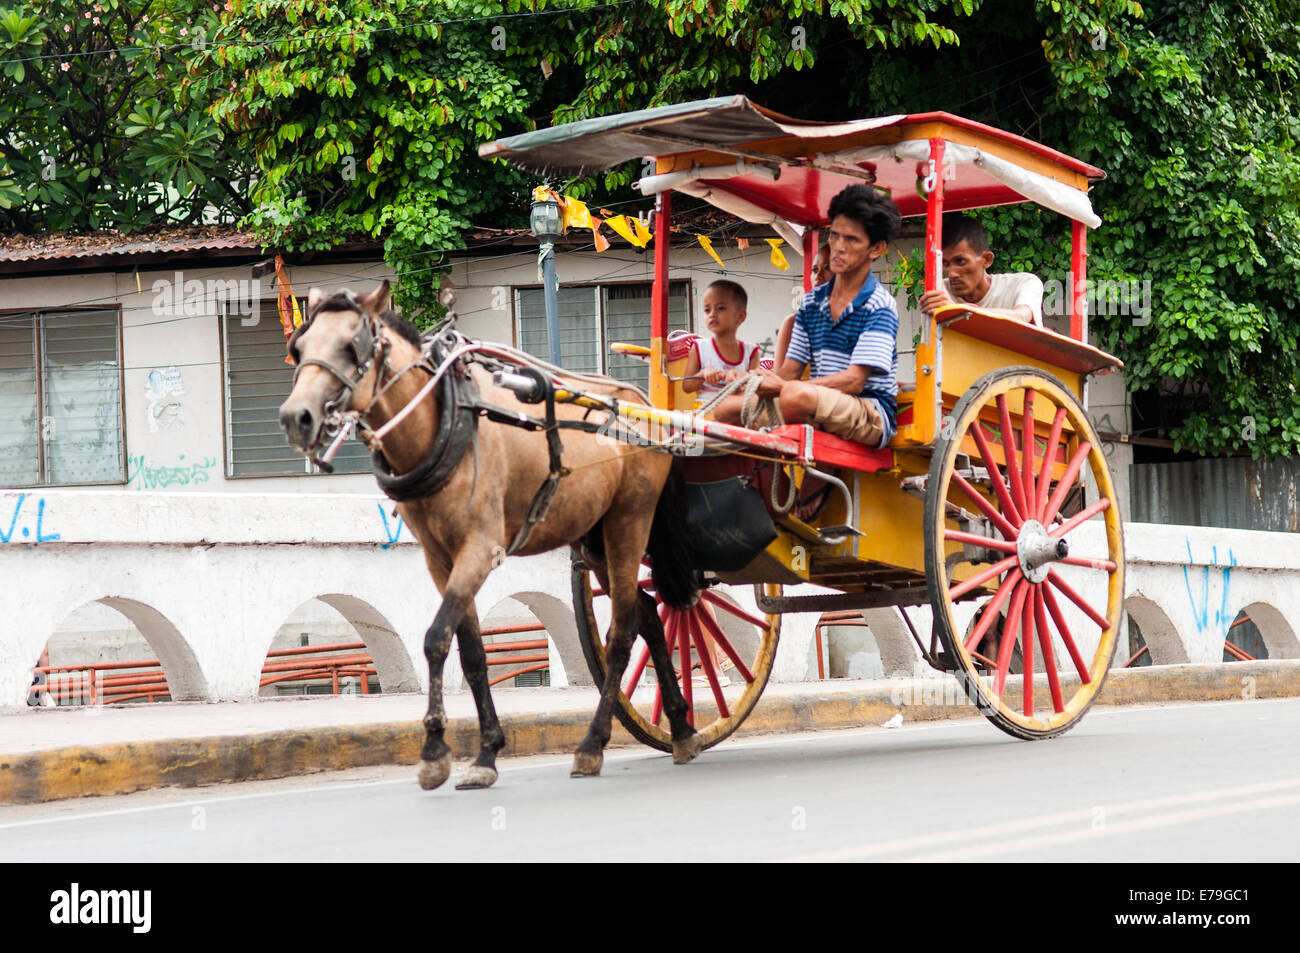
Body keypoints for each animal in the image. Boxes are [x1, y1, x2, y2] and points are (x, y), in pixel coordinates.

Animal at [275, 280, 702, 790]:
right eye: (299, 349)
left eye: (349, 346)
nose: (296, 417)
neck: (444, 420)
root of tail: (644, 404)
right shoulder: (440, 560)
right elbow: (473, 652)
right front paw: (486, 753)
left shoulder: (480, 549)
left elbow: (436, 639)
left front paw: (435, 751)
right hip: (594, 538)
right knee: (650, 617)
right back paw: (680, 728)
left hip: (629, 520)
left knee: (621, 632)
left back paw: (592, 744)